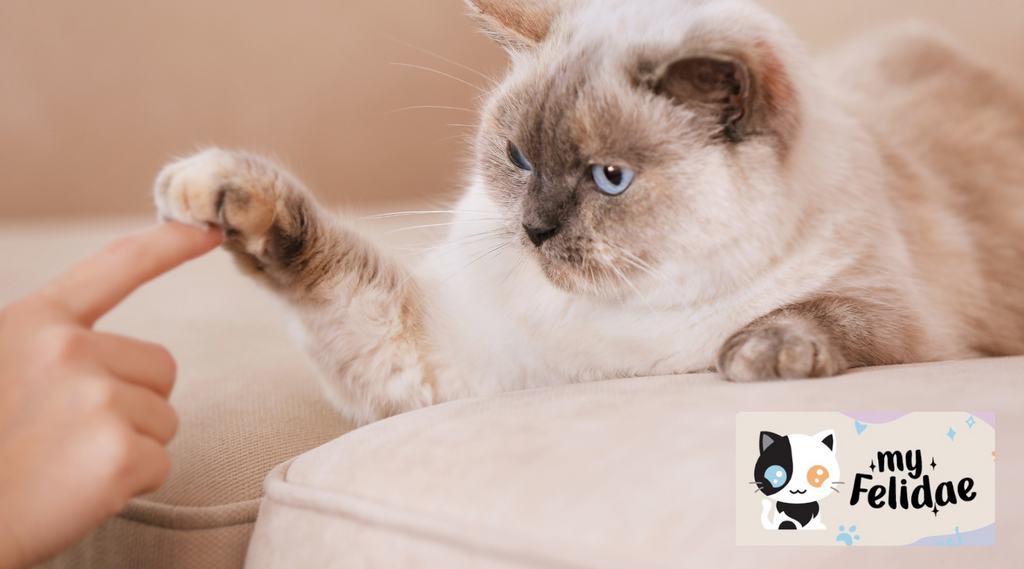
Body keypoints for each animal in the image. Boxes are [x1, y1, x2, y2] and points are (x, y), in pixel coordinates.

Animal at [151, 0, 1024, 423]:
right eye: (517, 160)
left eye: (609, 178)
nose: (534, 229)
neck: (618, 327)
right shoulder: (439, 358)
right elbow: (321, 261)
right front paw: (211, 192)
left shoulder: (917, 323)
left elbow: (825, 316)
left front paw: (756, 356)